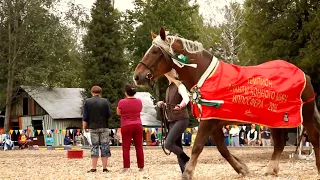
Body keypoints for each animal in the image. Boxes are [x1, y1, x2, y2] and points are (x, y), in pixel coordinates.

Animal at [133, 26, 320, 179]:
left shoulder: (208, 122)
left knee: (314, 137)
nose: (137, 76)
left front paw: (187, 172)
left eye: (155, 52)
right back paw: (270, 170)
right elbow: (223, 149)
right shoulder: (213, 123)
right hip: (274, 120)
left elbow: (197, 146)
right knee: (280, 144)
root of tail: (304, 74)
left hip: (305, 115)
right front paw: (242, 168)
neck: (206, 77)